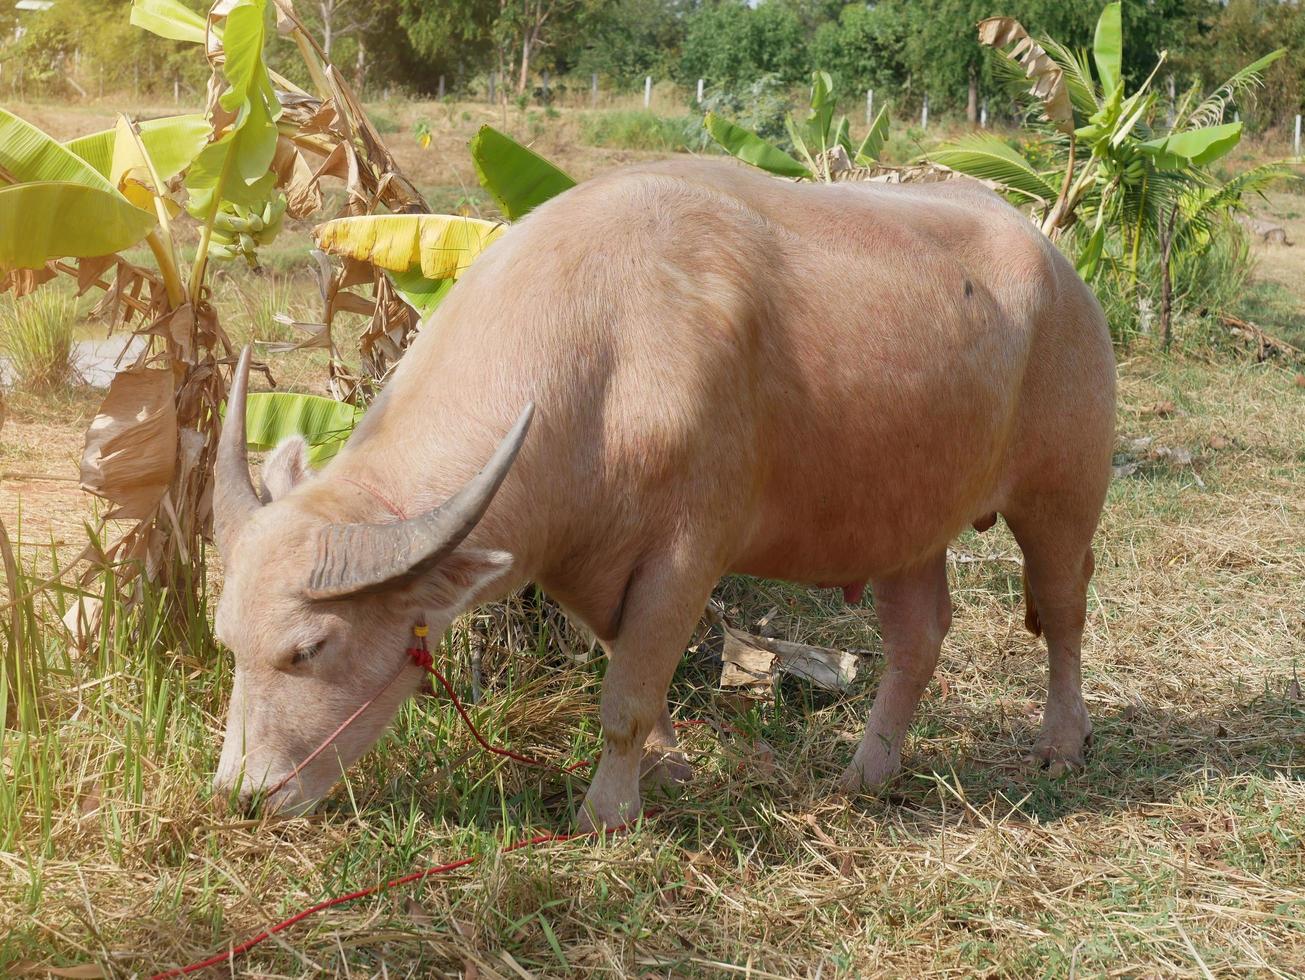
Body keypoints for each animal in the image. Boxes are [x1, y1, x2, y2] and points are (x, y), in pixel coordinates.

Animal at [211, 159, 1111, 829]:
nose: (244, 797)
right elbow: (631, 673)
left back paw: (1061, 742)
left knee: (1064, 610)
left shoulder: (687, 554)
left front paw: (606, 815)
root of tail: (1058, 266)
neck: (600, 360)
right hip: (903, 516)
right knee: (916, 640)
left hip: (1063, 491)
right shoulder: (589, 565)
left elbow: (629, 697)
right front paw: (667, 770)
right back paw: (868, 771)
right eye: (228, 644)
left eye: (308, 649)